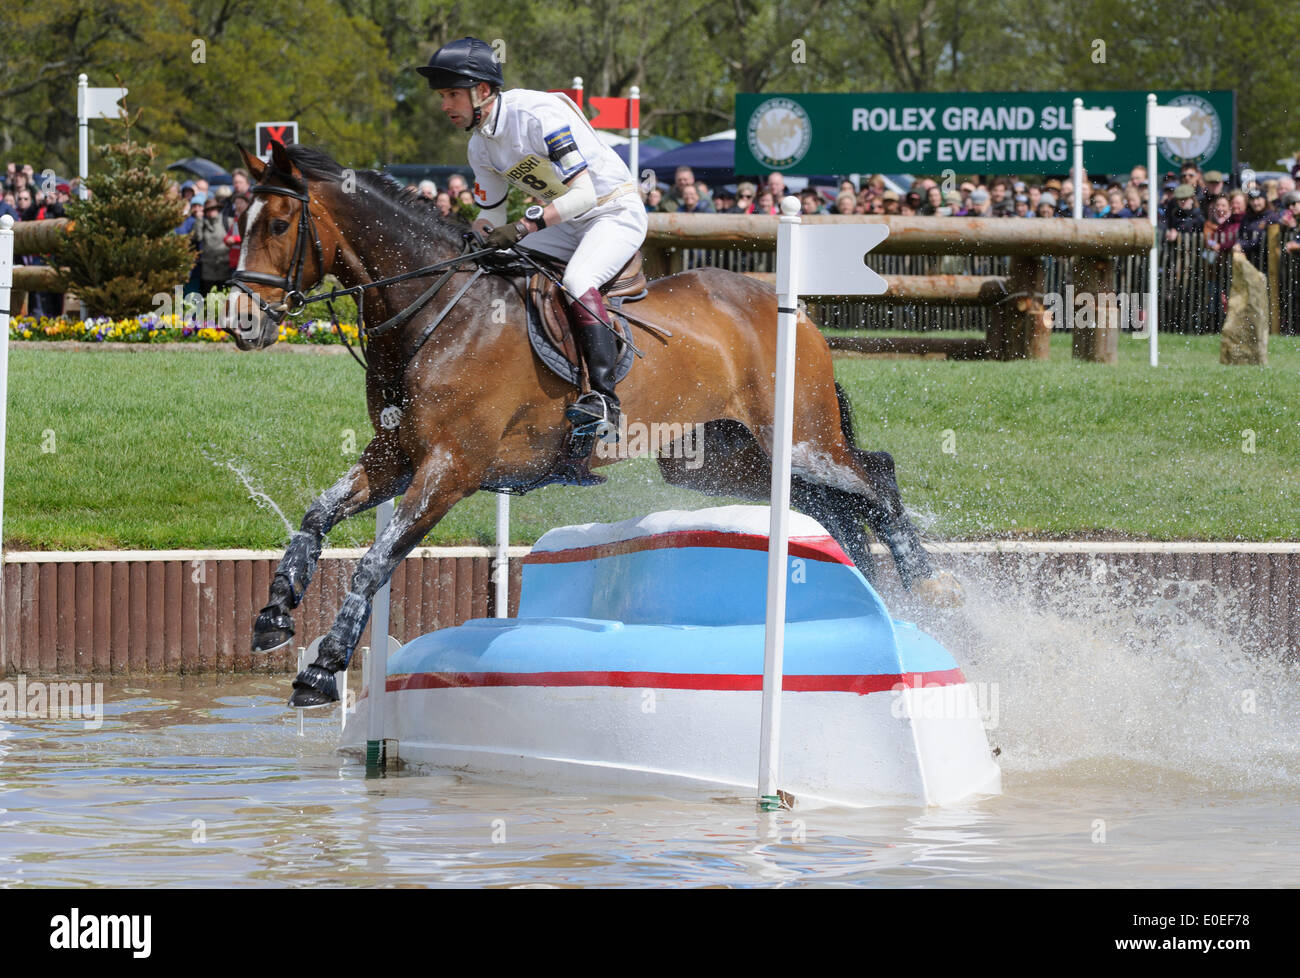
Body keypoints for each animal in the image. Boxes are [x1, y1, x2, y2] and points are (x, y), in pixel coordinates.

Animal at [220, 139, 956, 702]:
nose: (241, 324)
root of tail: (796, 313)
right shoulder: (396, 456)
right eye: (240, 220)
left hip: (801, 438)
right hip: (719, 460)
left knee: (876, 477)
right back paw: (885, 596)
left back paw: (929, 585)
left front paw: (322, 669)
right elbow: (317, 514)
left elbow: (376, 562)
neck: (437, 308)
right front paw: (274, 613)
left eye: (279, 225)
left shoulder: (450, 467)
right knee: (831, 506)